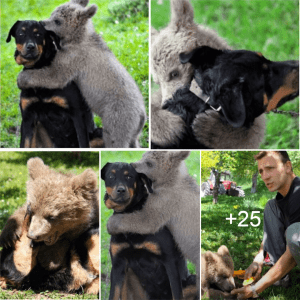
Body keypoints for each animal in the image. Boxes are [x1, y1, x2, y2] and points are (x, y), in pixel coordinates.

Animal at [6, 19, 103, 148]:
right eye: (21, 34)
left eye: (38, 34)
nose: (30, 46)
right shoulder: (27, 118)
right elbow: (24, 145)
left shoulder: (77, 114)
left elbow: (83, 143)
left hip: (99, 133)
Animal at [102, 163, 198, 298]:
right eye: (111, 176)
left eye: (129, 177)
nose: (121, 190)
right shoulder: (118, 264)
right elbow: (114, 295)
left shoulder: (169, 261)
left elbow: (176, 294)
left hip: (192, 280)